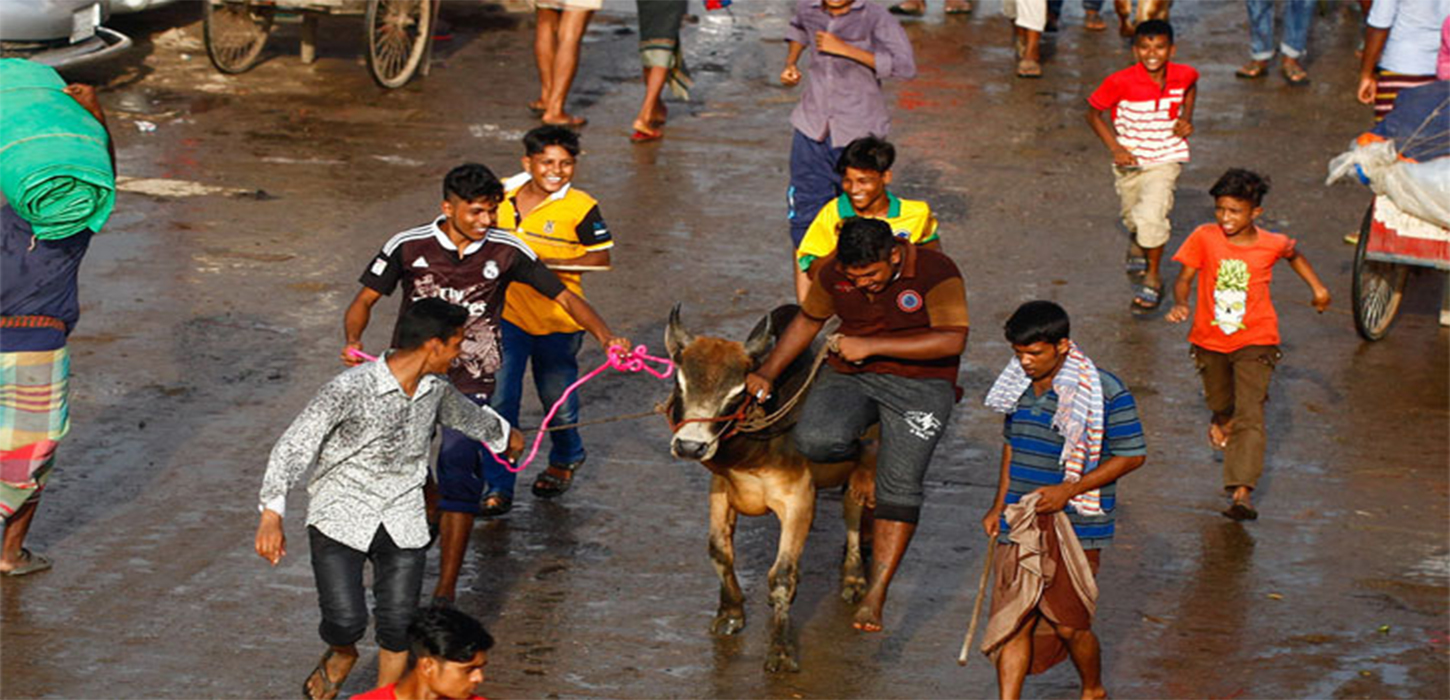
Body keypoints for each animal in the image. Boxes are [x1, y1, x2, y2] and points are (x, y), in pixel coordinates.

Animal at [664, 305, 875, 675]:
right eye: (680, 383)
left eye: (737, 392)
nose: (690, 446)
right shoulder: (721, 488)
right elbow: (719, 551)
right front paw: (730, 613)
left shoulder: (798, 501)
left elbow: (782, 576)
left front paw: (781, 651)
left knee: (852, 512)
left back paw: (854, 578)